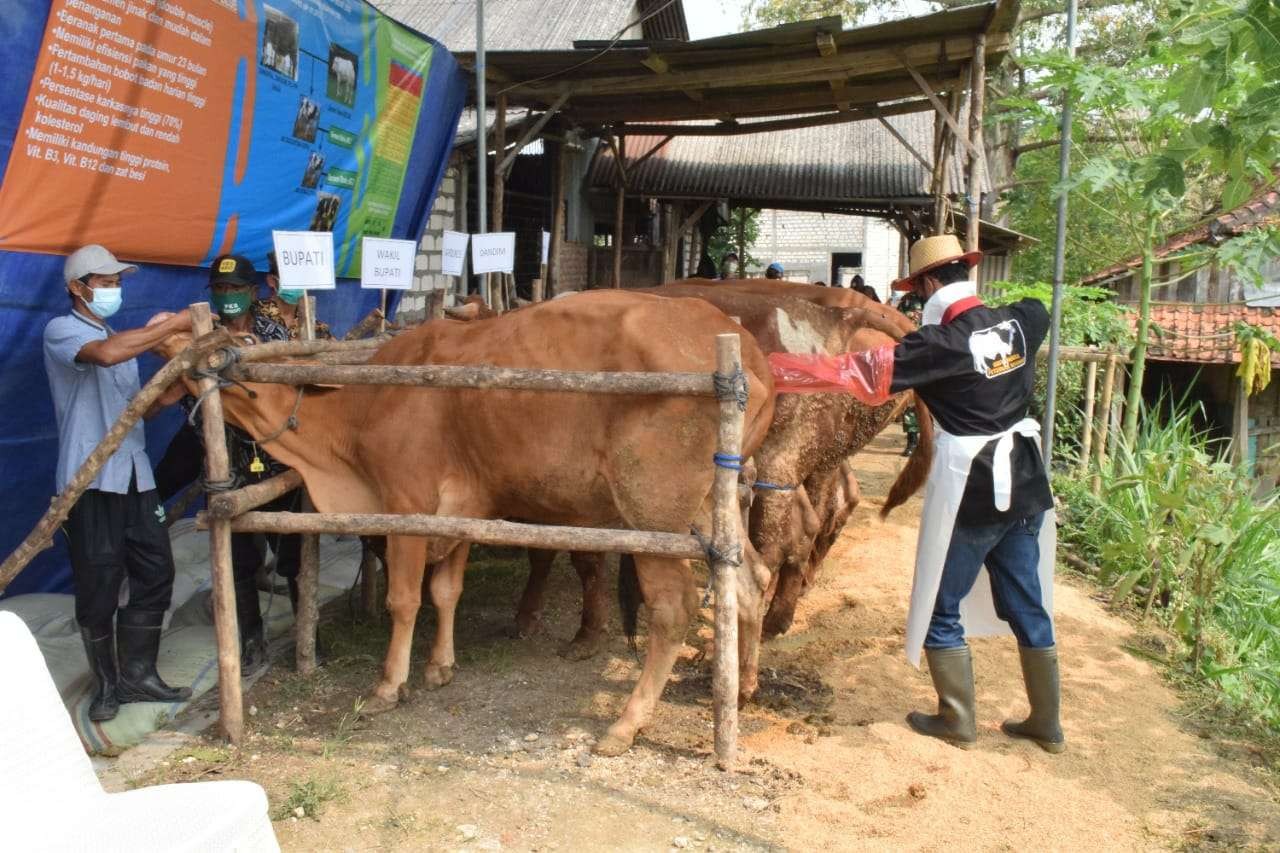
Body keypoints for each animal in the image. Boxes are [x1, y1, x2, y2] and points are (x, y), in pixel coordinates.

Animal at [165, 290, 773, 753]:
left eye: (243, 346)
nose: (176, 347)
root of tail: (739, 344)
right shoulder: (463, 511)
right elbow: (446, 591)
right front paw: (440, 666)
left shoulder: (407, 506)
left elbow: (405, 599)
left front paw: (389, 685)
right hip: (712, 510)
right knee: (751, 581)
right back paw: (737, 688)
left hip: (653, 518)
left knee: (673, 609)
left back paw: (625, 724)